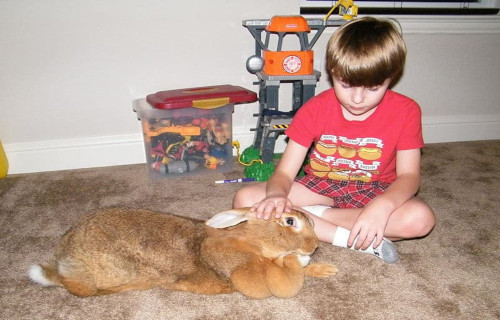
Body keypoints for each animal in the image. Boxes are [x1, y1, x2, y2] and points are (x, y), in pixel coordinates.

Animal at [29, 206, 338, 298]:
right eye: (290, 222)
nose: (314, 246)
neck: (251, 238)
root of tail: (61, 260)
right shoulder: (246, 270)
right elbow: (283, 275)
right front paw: (300, 259)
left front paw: (327, 269)